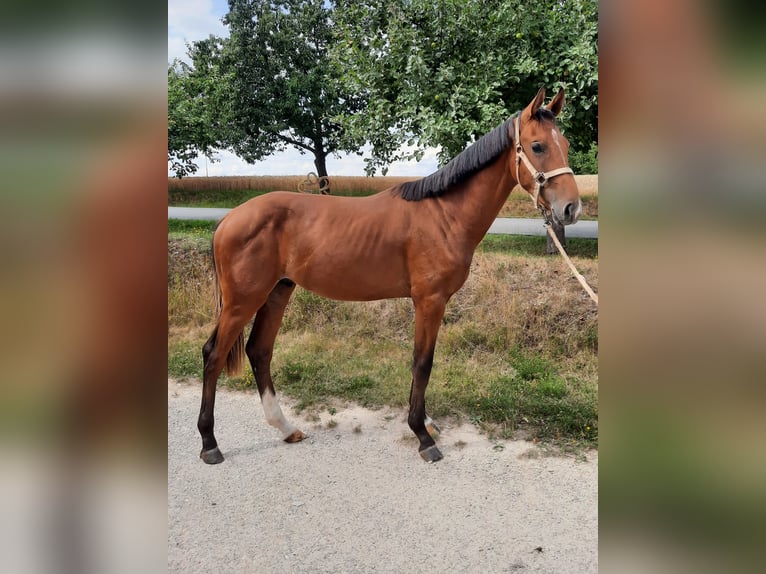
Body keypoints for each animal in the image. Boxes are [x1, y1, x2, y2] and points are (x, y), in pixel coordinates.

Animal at [197, 86, 581, 464]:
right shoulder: (429, 301)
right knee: (214, 354)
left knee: (259, 350)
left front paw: (425, 422)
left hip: (278, 292)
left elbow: (420, 364)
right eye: (537, 146)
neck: (444, 215)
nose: (570, 209)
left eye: (565, 144)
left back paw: (286, 428)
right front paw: (423, 436)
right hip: (242, 301)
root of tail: (228, 219)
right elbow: (422, 363)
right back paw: (209, 443)